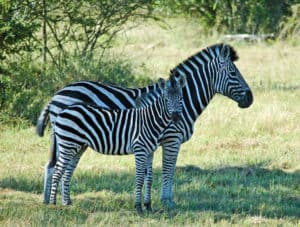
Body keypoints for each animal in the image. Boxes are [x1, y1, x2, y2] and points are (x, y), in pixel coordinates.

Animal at [49, 74, 185, 213]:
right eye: (167, 100)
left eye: (181, 98)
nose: (176, 118)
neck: (150, 121)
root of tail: (63, 111)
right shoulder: (140, 150)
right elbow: (140, 178)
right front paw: (138, 207)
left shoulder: (150, 152)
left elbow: (149, 179)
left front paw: (148, 205)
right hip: (67, 144)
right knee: (57, 171)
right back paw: (53, 204)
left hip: (78, 146)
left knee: (67, 172)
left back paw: (67, 203)